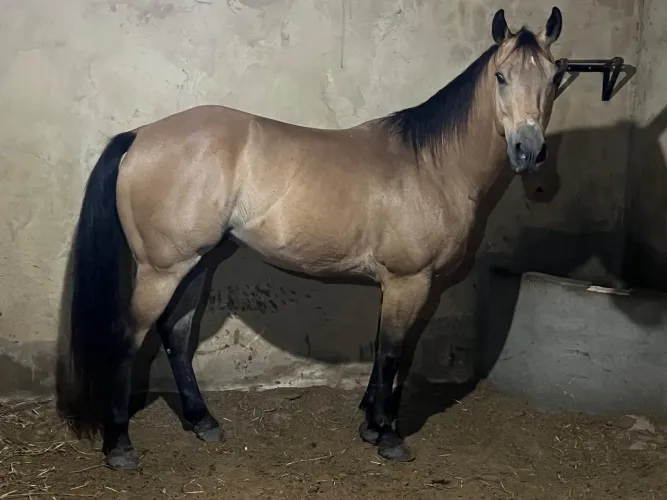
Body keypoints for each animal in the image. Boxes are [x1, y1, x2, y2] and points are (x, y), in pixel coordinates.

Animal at [56, 6, 565, 469]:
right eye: (501, 76)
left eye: (554, 78)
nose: (528, 150)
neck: (431, 165)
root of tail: (139, 136)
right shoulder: (410, 281)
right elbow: (393, 352)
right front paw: (387, 435)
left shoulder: (406, 286)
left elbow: (386, 349)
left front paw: (370, 422)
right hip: (163, 270)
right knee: (128, 337)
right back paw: (120, 446)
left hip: (195, 264)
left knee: (176, 335)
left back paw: (203, 422)